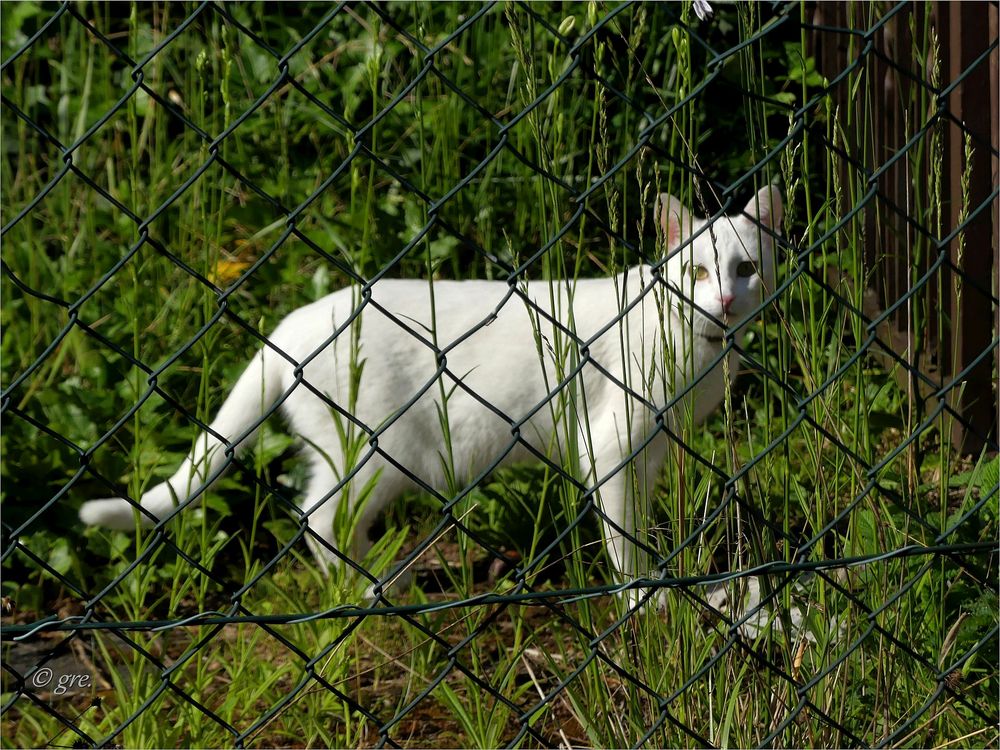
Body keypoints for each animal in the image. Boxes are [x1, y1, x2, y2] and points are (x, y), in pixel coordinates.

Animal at [80, 188, 780, 604]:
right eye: (696, 271)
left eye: (745, 269)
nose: (724, 299)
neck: (704, 350)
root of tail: (292, 322)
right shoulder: (608, 446)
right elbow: (622, 538)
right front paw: (645, 598)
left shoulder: (654, 448)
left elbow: (642, 521)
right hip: (380, 454)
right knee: (317, 518)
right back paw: (371, 593)